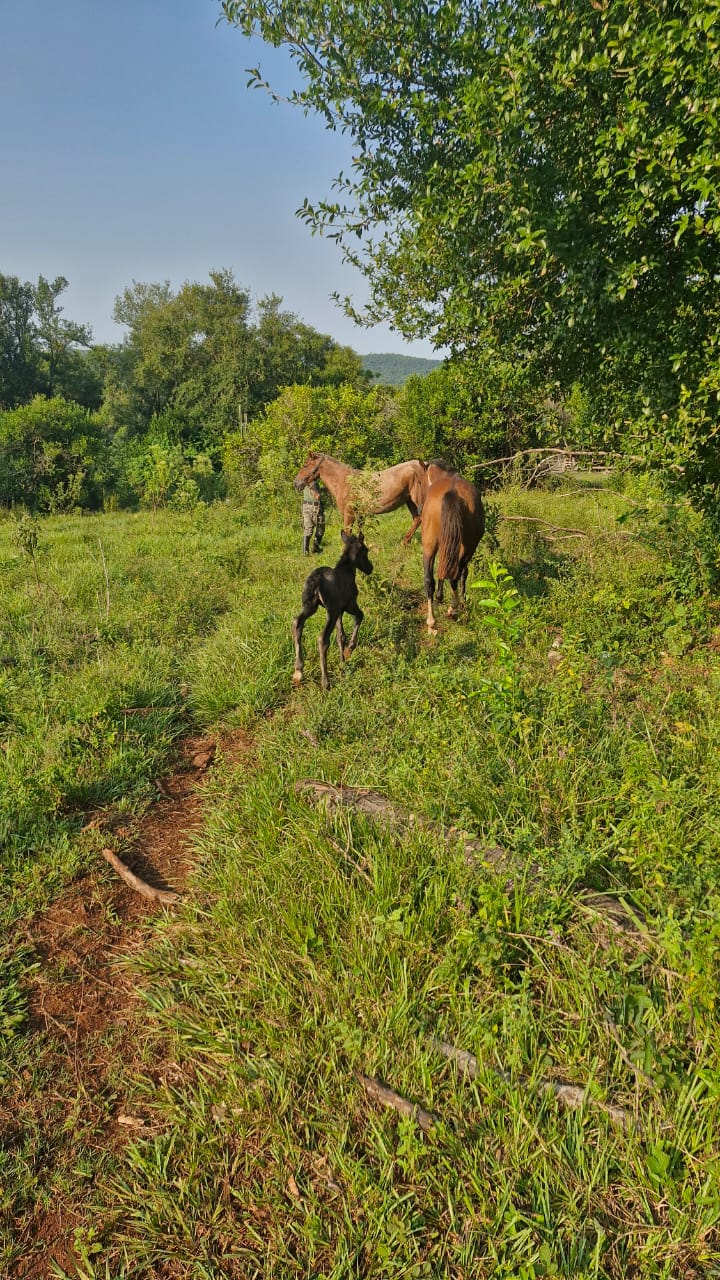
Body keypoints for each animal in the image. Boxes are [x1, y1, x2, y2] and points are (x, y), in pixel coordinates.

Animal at [292, 450, 425, 545]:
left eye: (306, 465)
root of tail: (423, 466)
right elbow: (360, 532)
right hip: (410, 501)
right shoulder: (360, 514)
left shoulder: (349, 514)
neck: (344, 481)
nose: (296, 483)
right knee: (417, 519)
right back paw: (405, 542)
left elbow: (347, 534)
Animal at [292, 529, 371, 691]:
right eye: (366, 551)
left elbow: (341, 635)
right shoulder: (348, 605)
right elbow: (360, 616)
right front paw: (350, 648)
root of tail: (315, 581)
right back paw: (325, 682)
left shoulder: (339, 611)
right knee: (322, 638)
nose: (370, 568)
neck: (349, 570)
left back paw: (298, 669)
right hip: (330, 611)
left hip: (311, 606)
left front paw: (342, 661)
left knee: (297, 622)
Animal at [420, 465, 481, 634]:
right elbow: (462, 574)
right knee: (456, 574)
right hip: (467, 547)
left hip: (429, 545)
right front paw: (462, 600)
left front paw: (440, 597)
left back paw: (431, 623)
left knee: (429, 580)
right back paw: (453, 609)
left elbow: (441, 570)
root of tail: (452, 492)